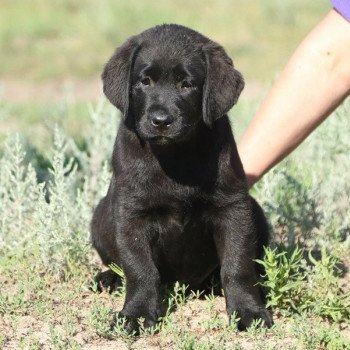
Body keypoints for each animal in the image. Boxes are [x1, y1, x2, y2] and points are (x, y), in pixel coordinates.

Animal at [91, 23, 274, 330]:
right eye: (145, 82)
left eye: (186, 84)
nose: (161, 120)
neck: (175, 156)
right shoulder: (132, 214)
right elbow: (139, 268)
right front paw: (137, 313)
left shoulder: (233, 208)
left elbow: (237, 266)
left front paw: (248, 310)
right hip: (100, 216)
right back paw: (108, 278)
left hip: (255, 211)